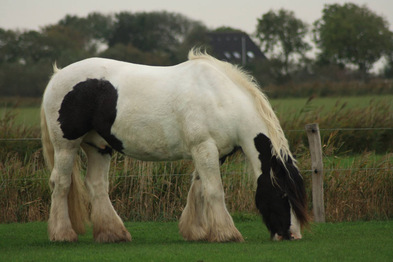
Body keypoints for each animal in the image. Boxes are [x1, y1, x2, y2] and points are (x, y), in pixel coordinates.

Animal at [41, 49, 308, 244]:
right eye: (284, 194)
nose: (292, 235)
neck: (220, 99)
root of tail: (57, 76)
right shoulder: (204, 148)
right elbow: (214, 190)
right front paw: (226, 233)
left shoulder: (213, 153)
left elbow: (199, 189)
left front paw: (197, 231)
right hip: (66, 145)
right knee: (60, 183)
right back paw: (63, 234)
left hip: (99, 147)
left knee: (96, 185)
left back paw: (113, 234)